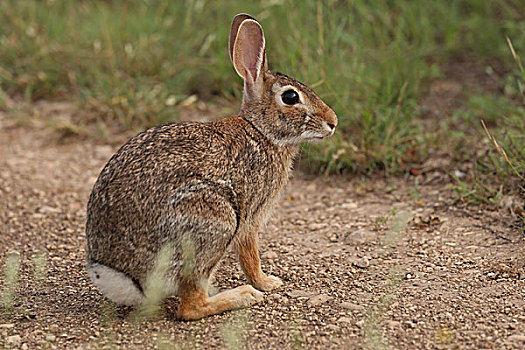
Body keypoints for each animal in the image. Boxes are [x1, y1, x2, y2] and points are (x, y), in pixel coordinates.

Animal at [85, 13, 336, 320]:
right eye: (290, 97)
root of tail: (123, 277)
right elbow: (250, 255)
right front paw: (268, 283)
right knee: (191, 306)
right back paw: (243, 295)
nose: (333, 121)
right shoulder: (249, 218)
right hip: (215, 220)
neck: (261, 131)